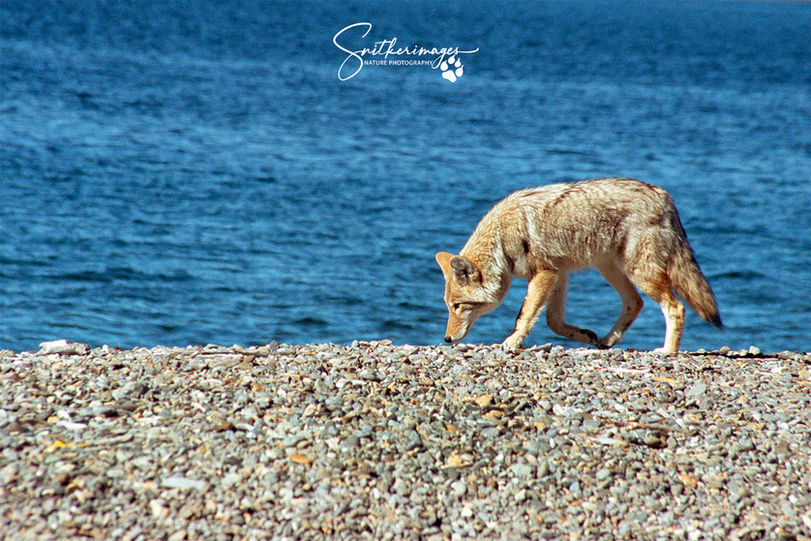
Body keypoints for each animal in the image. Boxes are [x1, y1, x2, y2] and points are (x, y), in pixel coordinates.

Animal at [435, 178, 722, 354]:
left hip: (640, 273)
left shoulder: (544, 274)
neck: (501, 240)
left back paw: (667, 351)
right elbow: (553, 322)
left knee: (676, 308)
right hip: (610, 270)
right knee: (635, 302)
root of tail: (663, 195)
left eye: (457, 306)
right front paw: (584, 335)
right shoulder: (559, 275)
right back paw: (607, 340)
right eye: (448, 307)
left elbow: (524, 316)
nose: (446, 339)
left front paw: (511, 341)